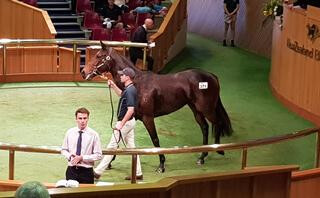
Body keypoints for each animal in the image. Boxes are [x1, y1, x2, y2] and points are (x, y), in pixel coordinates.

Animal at [80, 42, 232, 173]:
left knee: (217, 123)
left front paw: (161, 165)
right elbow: (118, 139)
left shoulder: (148, 118)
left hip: (207, 109)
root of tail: (212, 76)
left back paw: (218, 149)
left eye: (98, 56)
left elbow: (155, 140)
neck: (137, 84)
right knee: (205, 127)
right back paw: (202, 156)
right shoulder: (132, 117)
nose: (83, 72)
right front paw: (109, 162)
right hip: (195, 109)